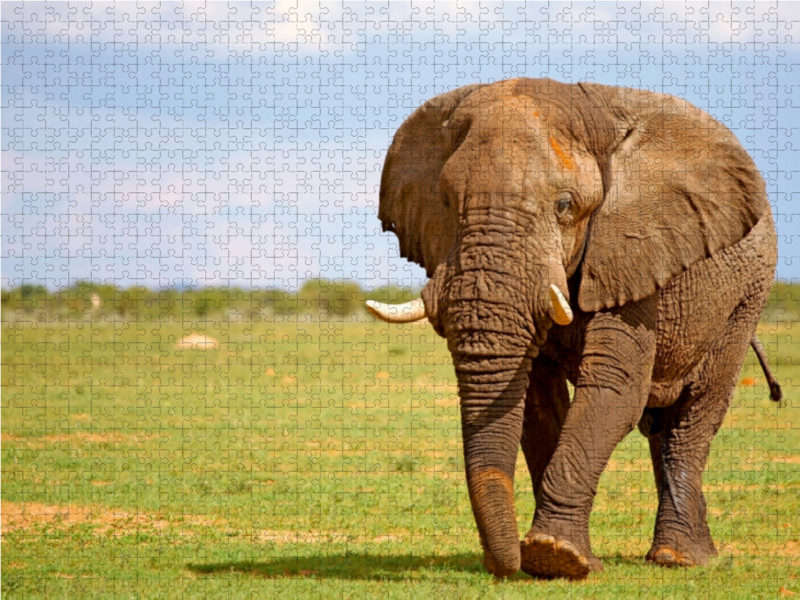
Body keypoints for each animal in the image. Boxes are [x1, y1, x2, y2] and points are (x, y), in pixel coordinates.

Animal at [368, 77, 780, 580]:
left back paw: (679, 559)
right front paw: (546, 558)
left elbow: (614, 389)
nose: (501, 565)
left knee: (697, 410)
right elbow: (536, 400)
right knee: (662, 425)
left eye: (565, 206)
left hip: (746, 295)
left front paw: (554, 555)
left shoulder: (632, 248)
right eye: (445, 201)